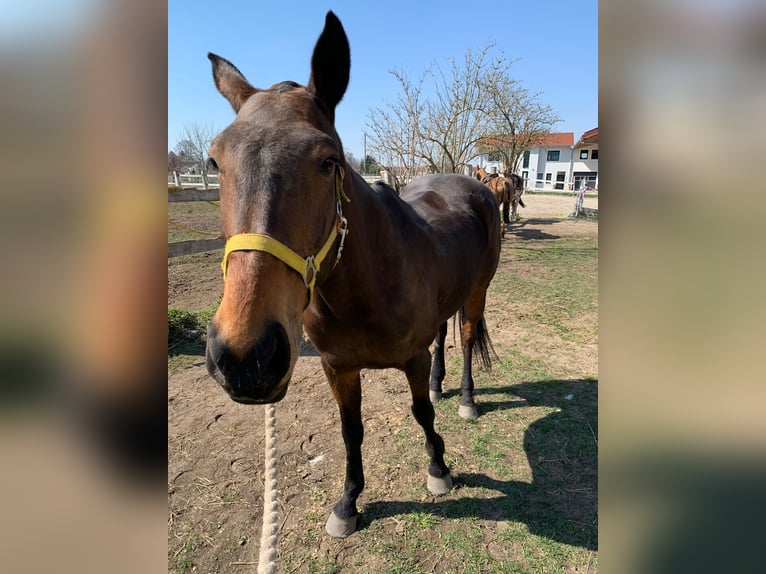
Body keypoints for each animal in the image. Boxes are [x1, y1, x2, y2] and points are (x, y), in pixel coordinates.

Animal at [204, 10, 504, 540]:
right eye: (215, 160)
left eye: (328, 161)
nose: (244, 356)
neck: (366, 285)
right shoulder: (337, 367)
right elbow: (351, 430)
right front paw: (348, 502)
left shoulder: (409, 359)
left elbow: (421, 413)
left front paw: (439, 468)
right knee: (443, 337)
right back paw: (440, 382)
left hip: (477, 293)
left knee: (467, 338)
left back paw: (466, 398)